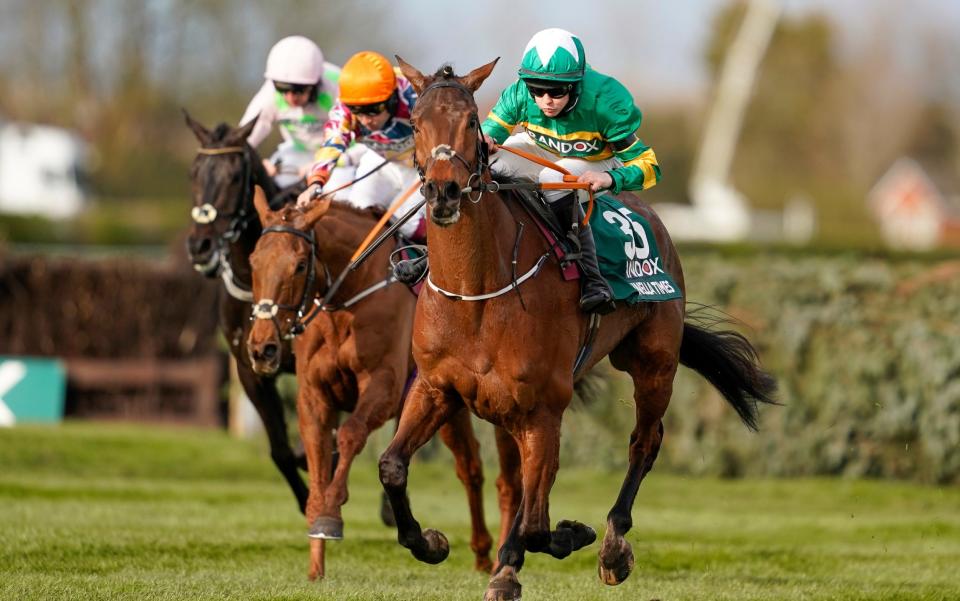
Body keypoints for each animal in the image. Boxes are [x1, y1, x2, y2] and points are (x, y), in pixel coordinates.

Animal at [244, 186, 498, 576]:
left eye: (300, 265)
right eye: (253, 262)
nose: (263, 349)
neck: (348, 298)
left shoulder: (384, 386)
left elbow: (350, 434)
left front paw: (331, 516)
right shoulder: (314, 396)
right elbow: (318, 461)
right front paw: (316, 563)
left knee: (472, 466)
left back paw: (487, 554)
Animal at [376, 57, 780, 600]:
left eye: (470, 121)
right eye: (417, 124)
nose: (443, 192)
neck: (477, 293)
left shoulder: (543, 406)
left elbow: (535, 523)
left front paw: (552, 546)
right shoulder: (437, 388)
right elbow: (392, 466)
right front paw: (432, 542)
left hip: (653, 362)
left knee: (643, 443)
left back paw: (613, 546)